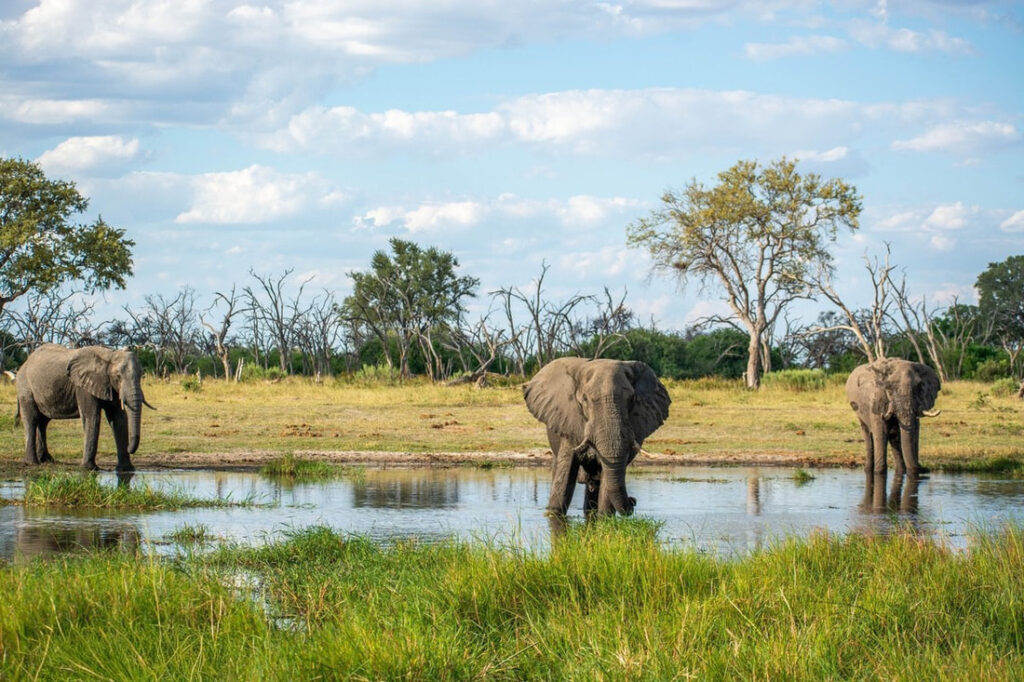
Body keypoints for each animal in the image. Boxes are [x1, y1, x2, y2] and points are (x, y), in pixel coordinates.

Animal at [16, 344, 153, 471]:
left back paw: (46, 460)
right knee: (31, 419)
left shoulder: (110, 386)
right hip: (24, 386)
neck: (109, 355)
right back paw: (32, 463)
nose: (130, 449)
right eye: (118, 376)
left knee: (43, 421)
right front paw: (89, 468)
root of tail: (25, 362)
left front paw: (126, 469)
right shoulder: (82, 386)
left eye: (141, 375)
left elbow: (119, 420)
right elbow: (92, 417)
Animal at [523, 357, 671, 516]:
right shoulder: (570, 422)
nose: (633, 501)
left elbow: (608, 476)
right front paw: (553, 514)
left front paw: (604, 518)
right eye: (585, 399)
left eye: (632, 399)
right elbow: (564, 478)